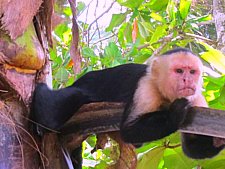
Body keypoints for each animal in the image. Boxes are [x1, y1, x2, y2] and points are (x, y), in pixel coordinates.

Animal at [30, 47, 224, 168]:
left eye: (192, 72)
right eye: (179, 71)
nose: (187, 80)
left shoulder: (197, 98)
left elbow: (190, 148)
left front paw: (218, 140)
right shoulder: (146, 87)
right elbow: (129, 130)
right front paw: (174, 113)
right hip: (88, 85)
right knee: (61, 108)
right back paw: (40, 91)